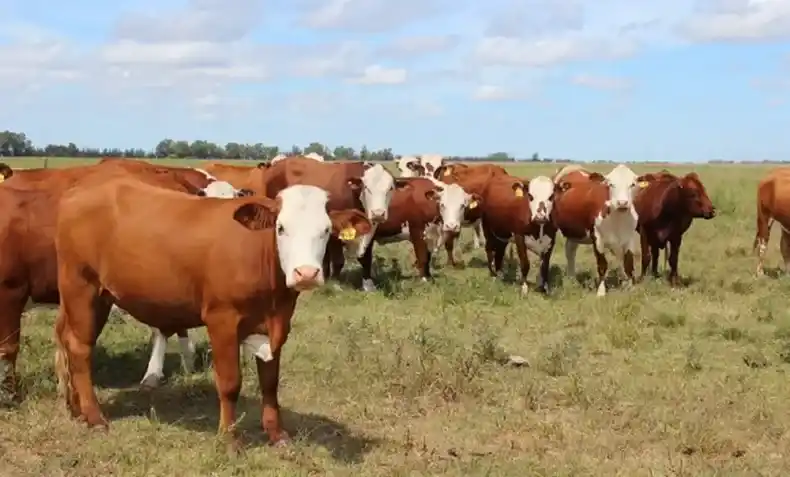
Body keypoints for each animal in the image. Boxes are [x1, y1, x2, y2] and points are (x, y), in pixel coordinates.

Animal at [53, 179, 372, 450]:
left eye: (326, 230)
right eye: (281, 228)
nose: (306, 273)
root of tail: (77, 193)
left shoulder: (275, 323)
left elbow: (270, 383)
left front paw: (277, 434)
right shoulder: (223, 320)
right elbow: (230, 383)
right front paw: (229, 439)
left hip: (95, 297)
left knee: (67, 341)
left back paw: (75, 408)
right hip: (81, 287)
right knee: (80, 348)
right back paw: (94, 417)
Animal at [553, 164, 642, 297]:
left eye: (632, 184)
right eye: (611, 184)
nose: (622, 203)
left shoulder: (628, 238)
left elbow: (628, 262)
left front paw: (630, 287)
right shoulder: (597, 238)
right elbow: (602, 265)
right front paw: (601, 291)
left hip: (575, 233)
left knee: (570, 251)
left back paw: (572, 279)